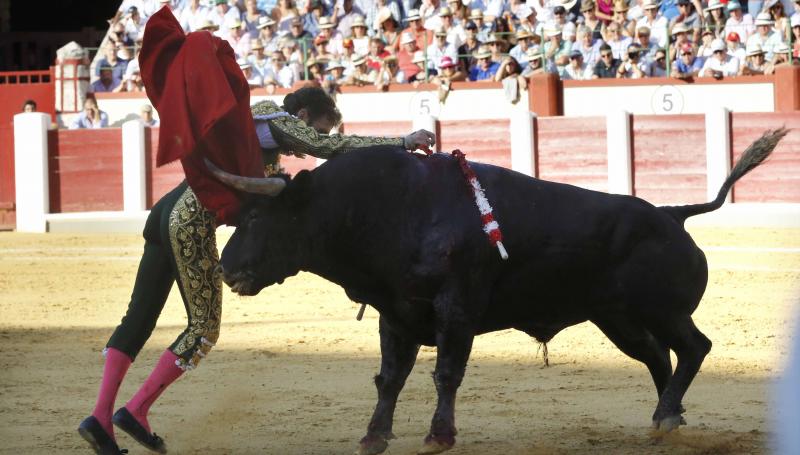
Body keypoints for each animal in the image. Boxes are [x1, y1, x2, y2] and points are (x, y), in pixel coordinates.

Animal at [216, 128, 784, 455]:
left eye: (259, 218)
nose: (225, 269)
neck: (389, 207)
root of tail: (672, 214)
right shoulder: (395, 314)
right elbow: (389, 378)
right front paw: (374, 436)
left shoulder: (456, 308)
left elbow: (446, 372)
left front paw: (439, 435)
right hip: (618, 319)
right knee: (660, 358)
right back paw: (666, 418)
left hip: (660, 310)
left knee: (694, 347)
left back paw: (667, 415)